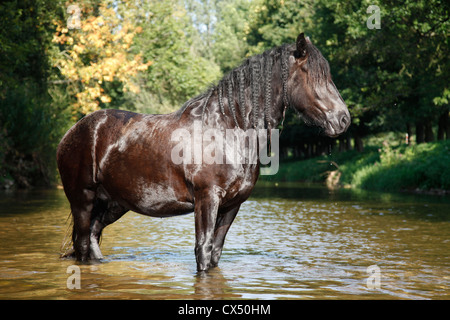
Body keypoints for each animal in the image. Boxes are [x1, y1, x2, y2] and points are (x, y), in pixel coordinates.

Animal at [57, 33, 352, 272]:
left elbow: (215, 252)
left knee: (92, 240)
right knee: (82, 244)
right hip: (83, 200)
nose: (343, 119)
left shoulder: (232, 205)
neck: (228, 129)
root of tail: (71, 133)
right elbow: (203, 249)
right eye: (313, 75)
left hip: (113, 204)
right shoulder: (206, 198)